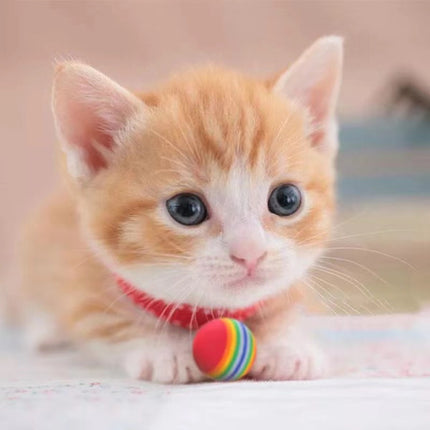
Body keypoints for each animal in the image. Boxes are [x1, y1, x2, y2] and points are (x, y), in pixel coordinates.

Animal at [19, 35, 342, 382]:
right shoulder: (82, 286)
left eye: (286, 199)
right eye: (186, 209)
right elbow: (103, 320)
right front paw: (165, 347)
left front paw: (285, 344)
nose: (250, 253)